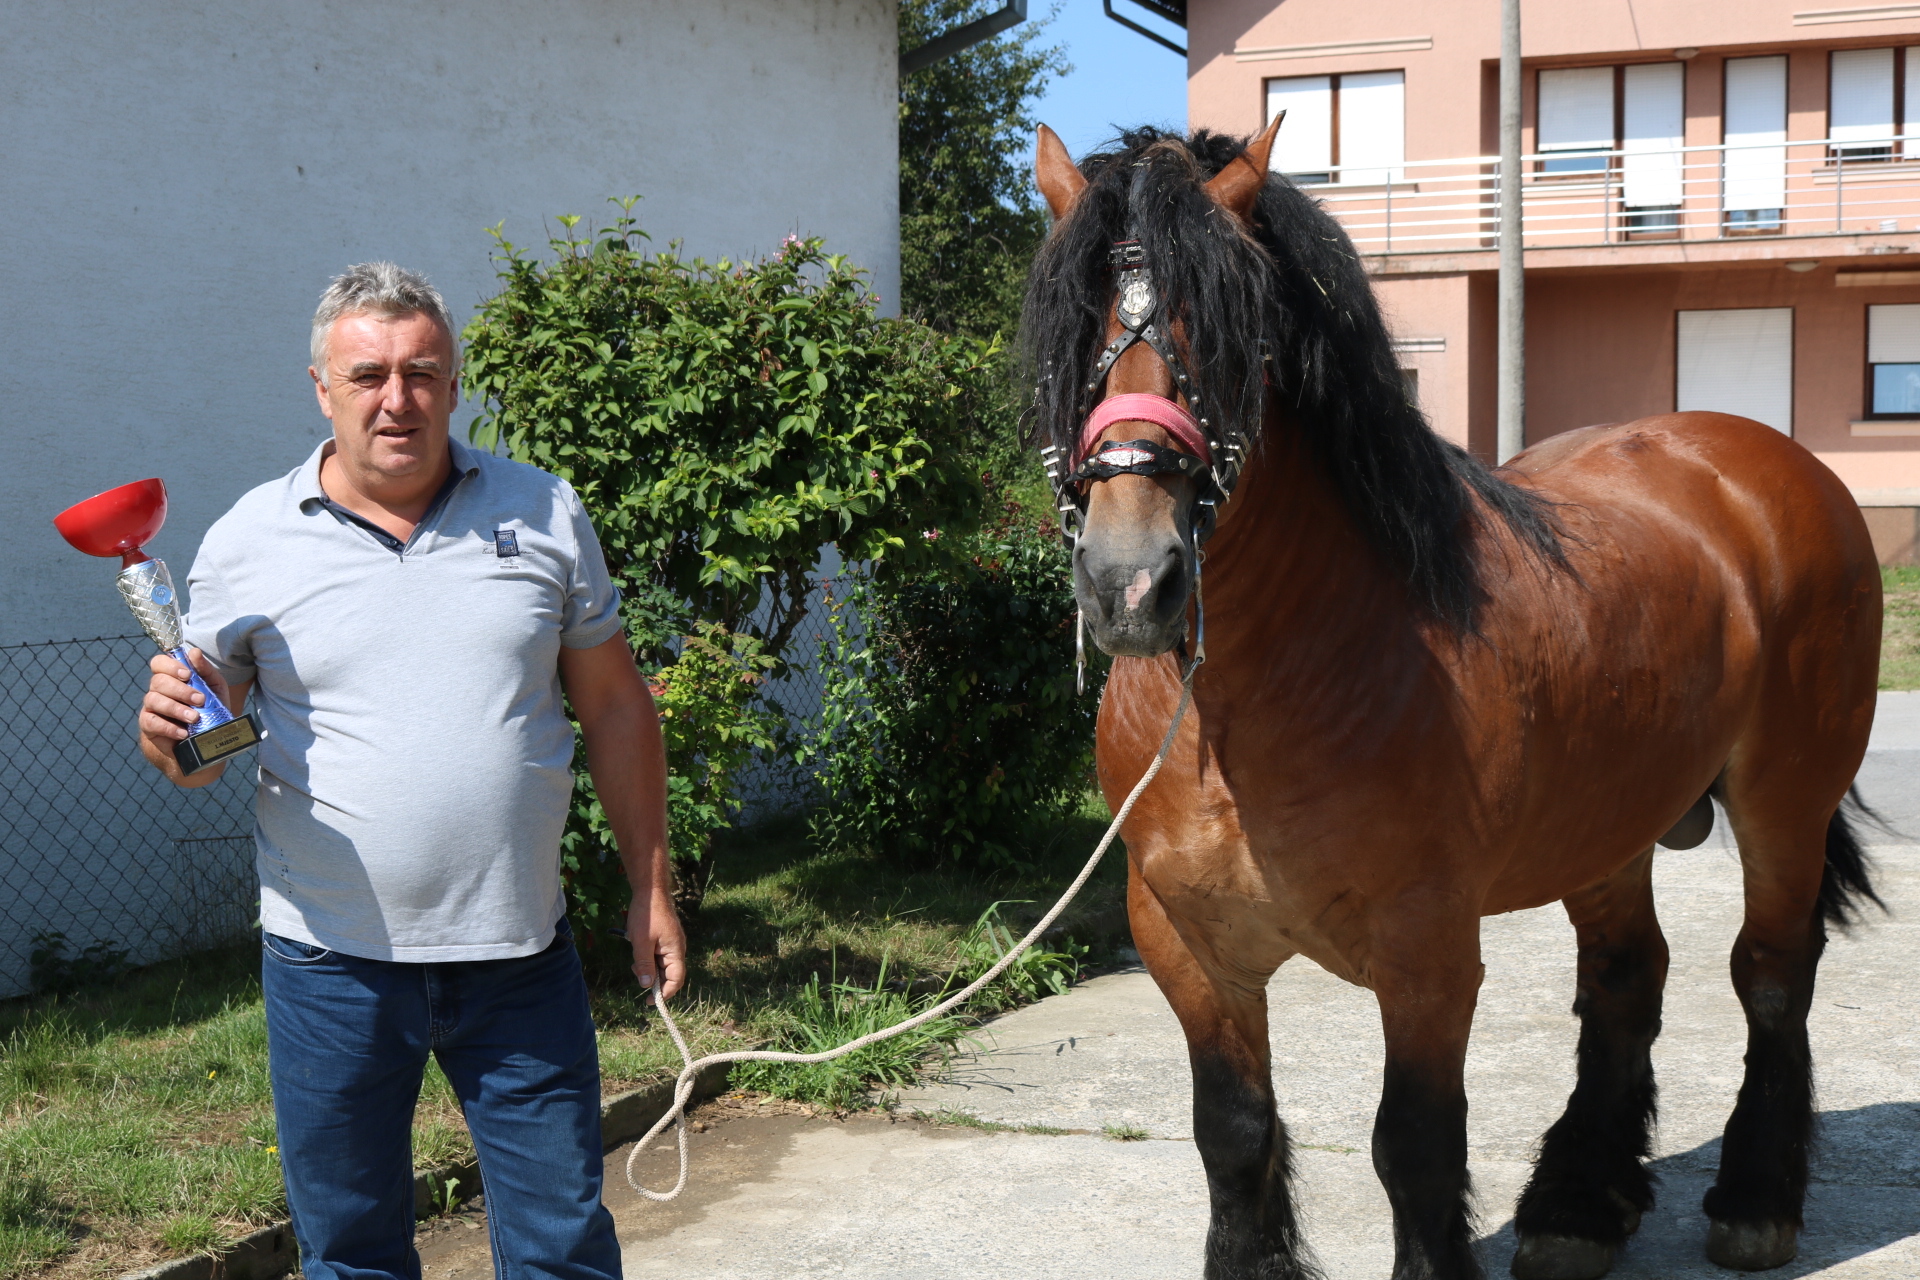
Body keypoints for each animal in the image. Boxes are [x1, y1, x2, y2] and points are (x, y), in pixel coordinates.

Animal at [1029, 115, 1881, 1274]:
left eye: (1238, 337)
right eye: (1070, 336)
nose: (1129, 582)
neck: (1247, 706)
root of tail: (1765, 464)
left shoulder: (1426, 950)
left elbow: (1415, 1145)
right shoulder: (1185, 943)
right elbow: (1233, 1131)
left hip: (1785, 801)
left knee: (1771, 973)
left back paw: (1755, 1198)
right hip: (1607, 822)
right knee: (1627, 976)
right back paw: (1577, 1205)